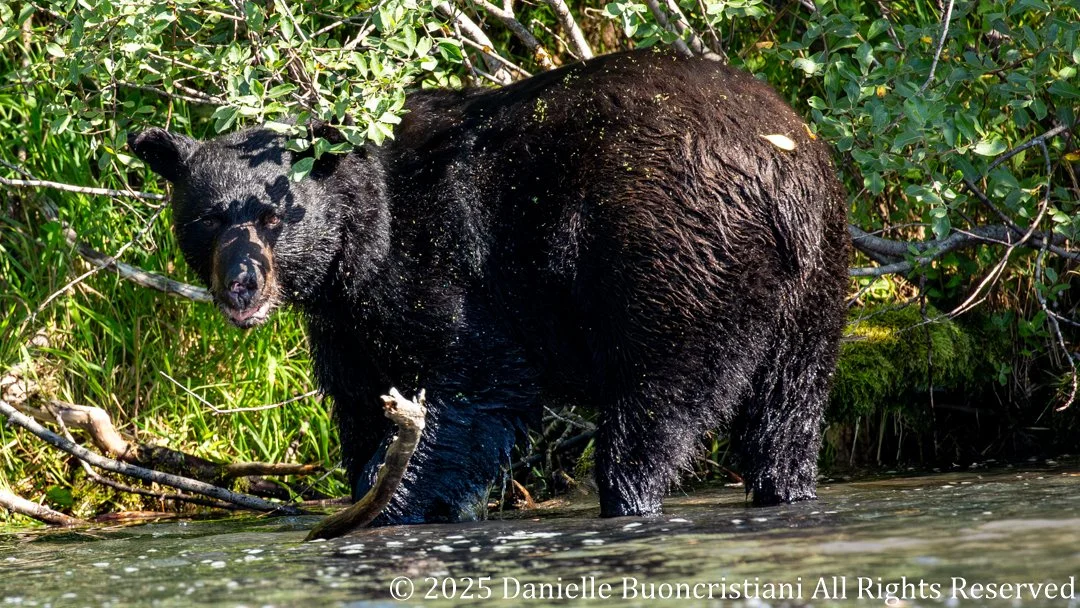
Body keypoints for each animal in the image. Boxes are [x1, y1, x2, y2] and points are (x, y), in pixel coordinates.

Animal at [129, 48, 851, 524]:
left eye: (275, 214)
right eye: (207, 218)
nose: (242, 286)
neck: (361, 246)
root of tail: (780, 168)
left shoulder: (443, 266)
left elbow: (477, 383)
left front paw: (390, 503)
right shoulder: (348, 322)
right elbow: (362, 401)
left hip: (679, 263)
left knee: (658, 405)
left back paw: (629, 497)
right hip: (812, 289)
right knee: (787, 412)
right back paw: (786, 489)